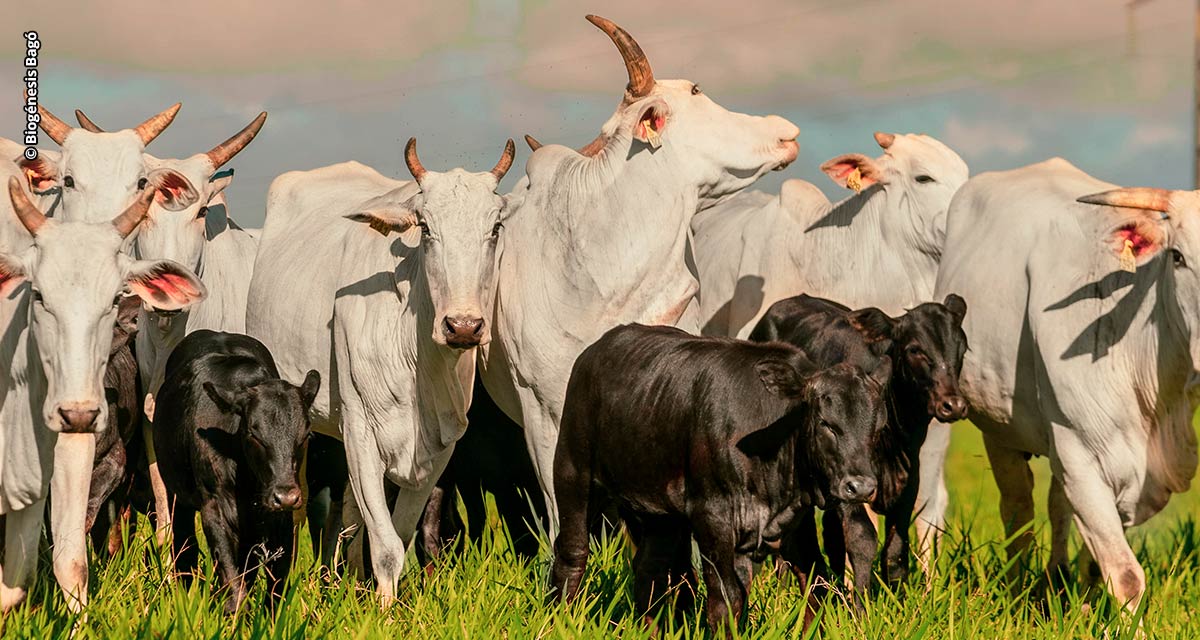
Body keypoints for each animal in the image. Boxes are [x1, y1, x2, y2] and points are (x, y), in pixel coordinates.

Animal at [73, 111, 266, 537]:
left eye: (200, 213)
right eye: (142, 212)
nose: (169, 293)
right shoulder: (152, 413)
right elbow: (164, 492)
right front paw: (164, 545)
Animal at [248, 138, 516, 597]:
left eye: (496, 227)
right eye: (425, 228)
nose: (463, 326)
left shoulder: (442, 446)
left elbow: (398, 535)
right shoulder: (360, 431)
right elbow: (387, 544)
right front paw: (384, 608)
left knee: (351, 521)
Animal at [926, 158, 1200, 609]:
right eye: (1177, 256)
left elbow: (1096, 558)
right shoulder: (1082, 458)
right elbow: (1126, 575)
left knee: (1055, 506)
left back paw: (1057, 579)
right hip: (999, 429)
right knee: (1017, 505)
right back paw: (1017, 586)